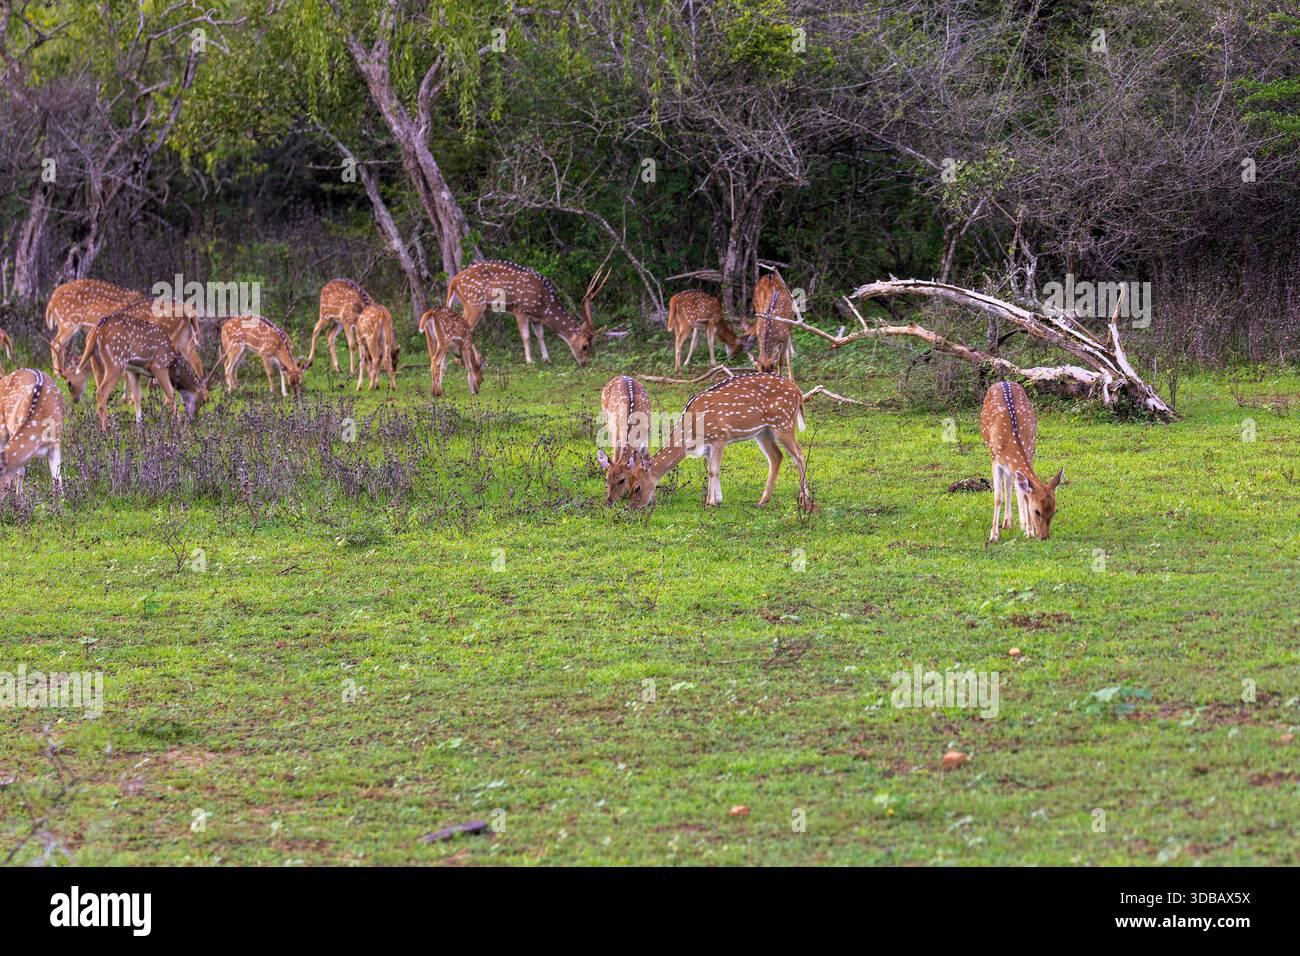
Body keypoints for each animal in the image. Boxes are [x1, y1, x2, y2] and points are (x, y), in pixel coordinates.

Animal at [75, 311, 210, 429]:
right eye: (203, 401)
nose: (193, 420)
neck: (172, 363)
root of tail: (96, 330)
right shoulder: (159, 366)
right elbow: (171, 393)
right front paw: (178, 422)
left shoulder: (133, 370)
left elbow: (137, 396)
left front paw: (139, 426)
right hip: (116, 362)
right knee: (101, 392)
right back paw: (106, 429)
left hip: (96, 363)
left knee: (99, 389)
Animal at [446, 259, 608, 366]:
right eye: (585, 345)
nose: (586, 362)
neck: (544, 304)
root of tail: (454, 281)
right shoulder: (520, 310)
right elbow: (526, 336)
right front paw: (530, 361)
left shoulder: (536, 318)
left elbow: (540, 336)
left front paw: (547, 359)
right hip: (475, 303)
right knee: (465, 327)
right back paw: (468, 360)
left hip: (469, 304)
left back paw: (460, 359)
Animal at [595, 375, 651, 504]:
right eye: (606, 478)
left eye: (622, 480)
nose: (609, 501)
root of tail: (621, 376)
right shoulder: (616, 438)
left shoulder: (647, 439)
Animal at [625, 372, 813, 512]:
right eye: (628, 483)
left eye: (637, 487)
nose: (633, 507)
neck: (690, 436)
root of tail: (798, 392)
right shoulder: (708, 447)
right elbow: (710, 471)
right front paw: (715, 499)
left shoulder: (719, 437)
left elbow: (713, 470)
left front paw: (712, 503)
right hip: (763, 432)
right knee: (776, 456)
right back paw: (762, 501)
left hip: (783, 422)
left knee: (799, 454)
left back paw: (805, 500)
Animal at [979, 381, 1064, 543]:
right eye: (1037, 511)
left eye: (1055, 511)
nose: (1044, 536)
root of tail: (1004, 381)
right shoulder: (995, 461)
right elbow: (998, 497)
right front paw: (993, 536)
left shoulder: (1030, 452)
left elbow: (1024, 494)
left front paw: (1029, 531)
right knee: (1008, 482)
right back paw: (1007, 523)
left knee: (1013, 483)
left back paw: (1017, 523)